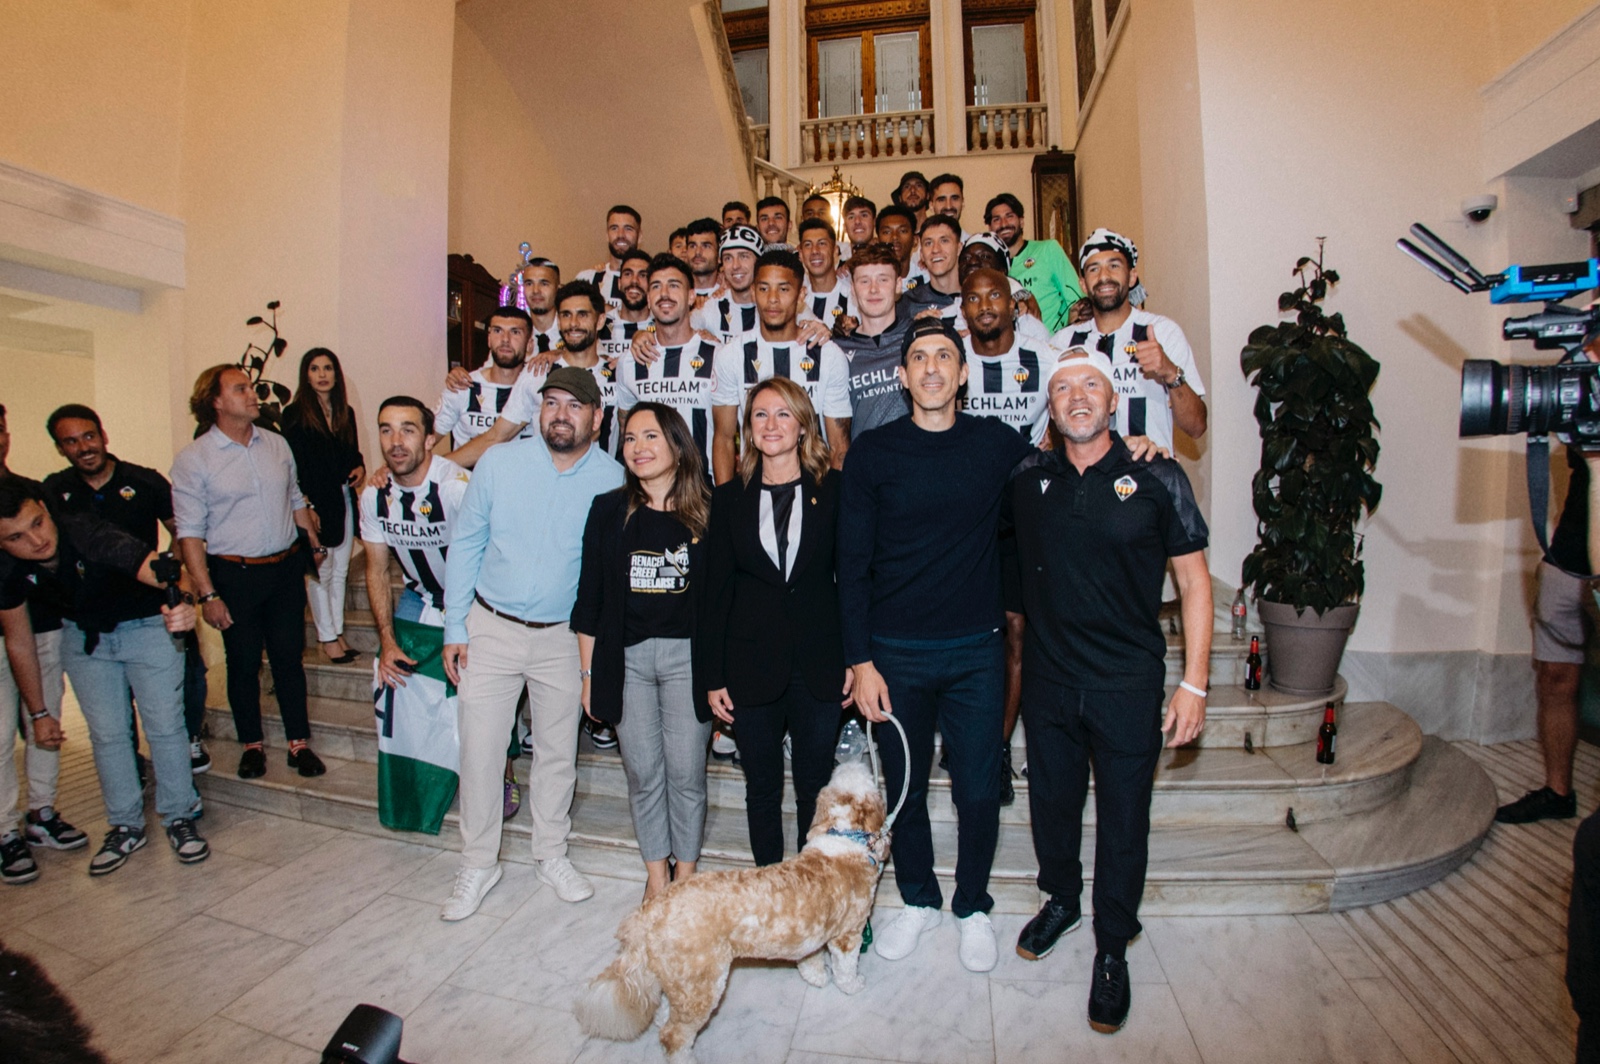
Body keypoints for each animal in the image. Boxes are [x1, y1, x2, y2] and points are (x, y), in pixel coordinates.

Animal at [579, 758, 889, 1056]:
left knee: (665, 1013)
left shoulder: (812, 932)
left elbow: (810, 959)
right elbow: (845, 967)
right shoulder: (848, 934)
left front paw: (817, 977)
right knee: (674, 1036)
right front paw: (853, 985)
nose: (851, 759)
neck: (844, 837)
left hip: (679, 979)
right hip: (702, 983)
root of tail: (649, 915)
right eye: (865, 777)